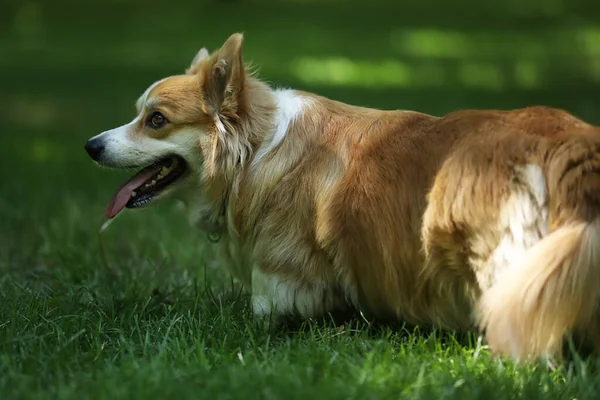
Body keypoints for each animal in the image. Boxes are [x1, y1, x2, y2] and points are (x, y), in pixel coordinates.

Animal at [85, 31, 600, 362]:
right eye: (140, 114)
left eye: (156, 120)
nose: (91, 146)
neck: (255, 148)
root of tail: (569, 145)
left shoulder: (280, 279)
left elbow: (262, 308)